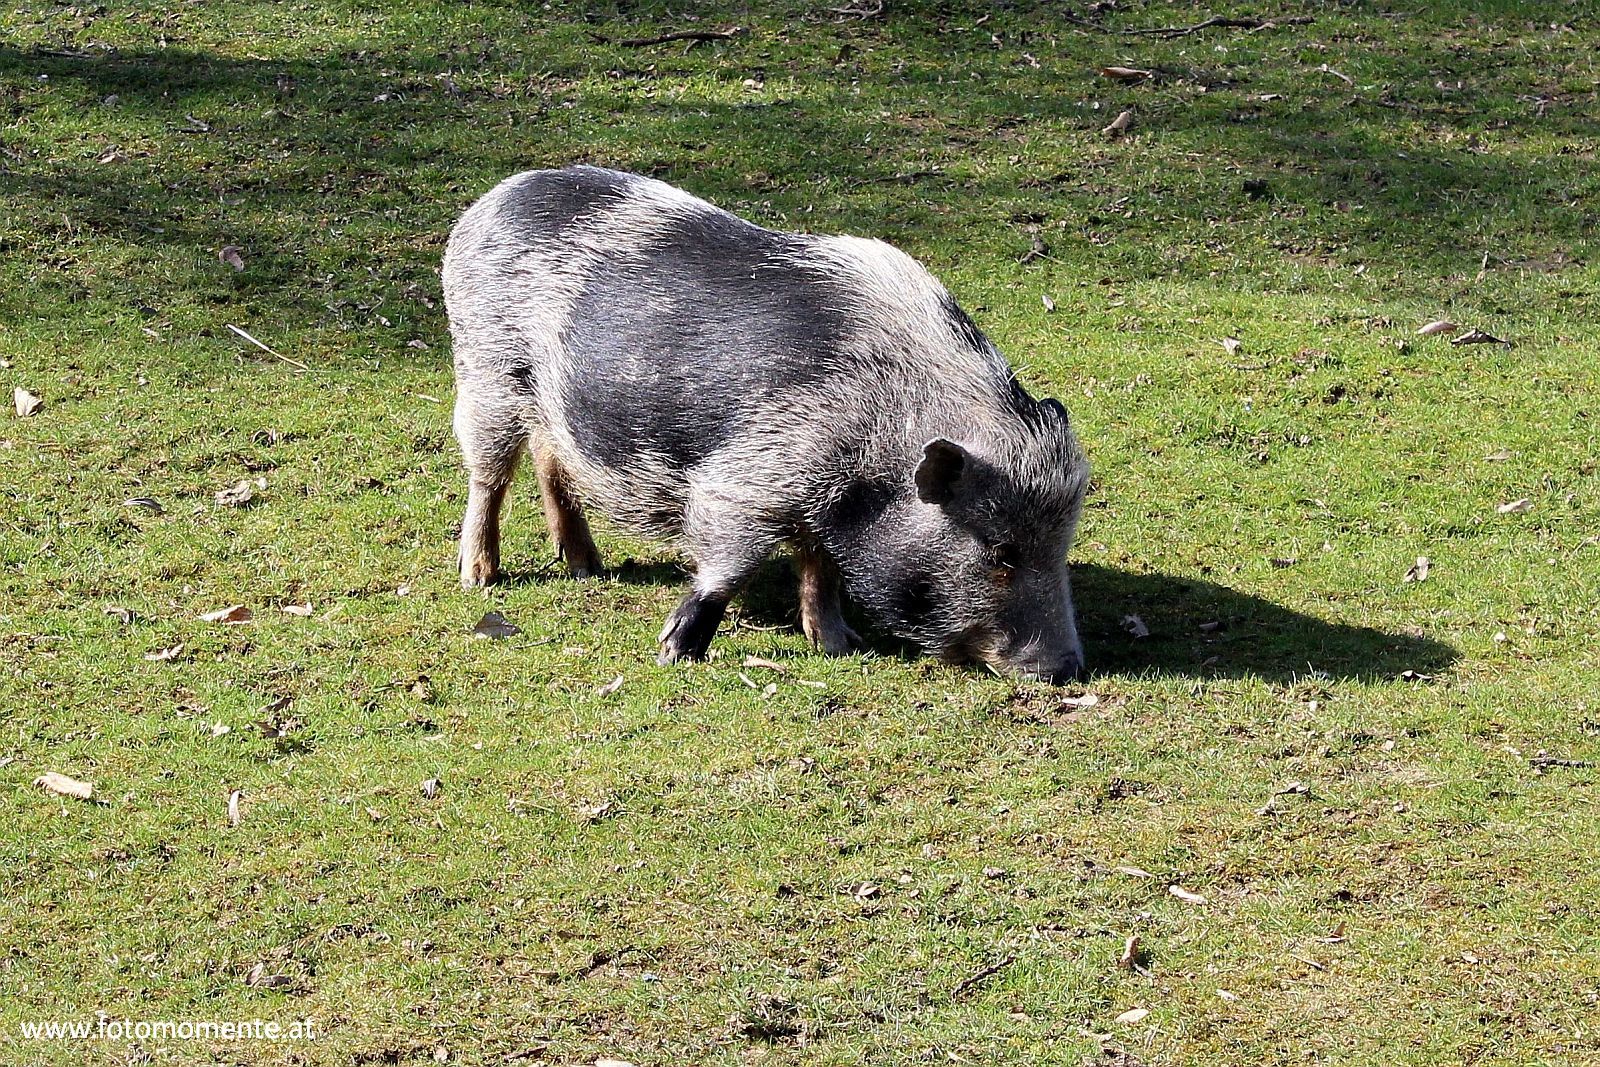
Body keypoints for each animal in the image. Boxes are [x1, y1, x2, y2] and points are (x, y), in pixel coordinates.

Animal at [441, 167, 1088, 684]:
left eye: (1060, 546)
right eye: (1001, 551)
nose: (1066, 670)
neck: (884, 431)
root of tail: (490, 201)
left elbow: (820, 567)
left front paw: (839, 645)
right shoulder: (750, 477)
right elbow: (730, 563)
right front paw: (674, 653)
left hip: (543, 402)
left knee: (550, 462)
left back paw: (587, 569)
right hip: (485, 369)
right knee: (488, 475)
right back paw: (479, 579)